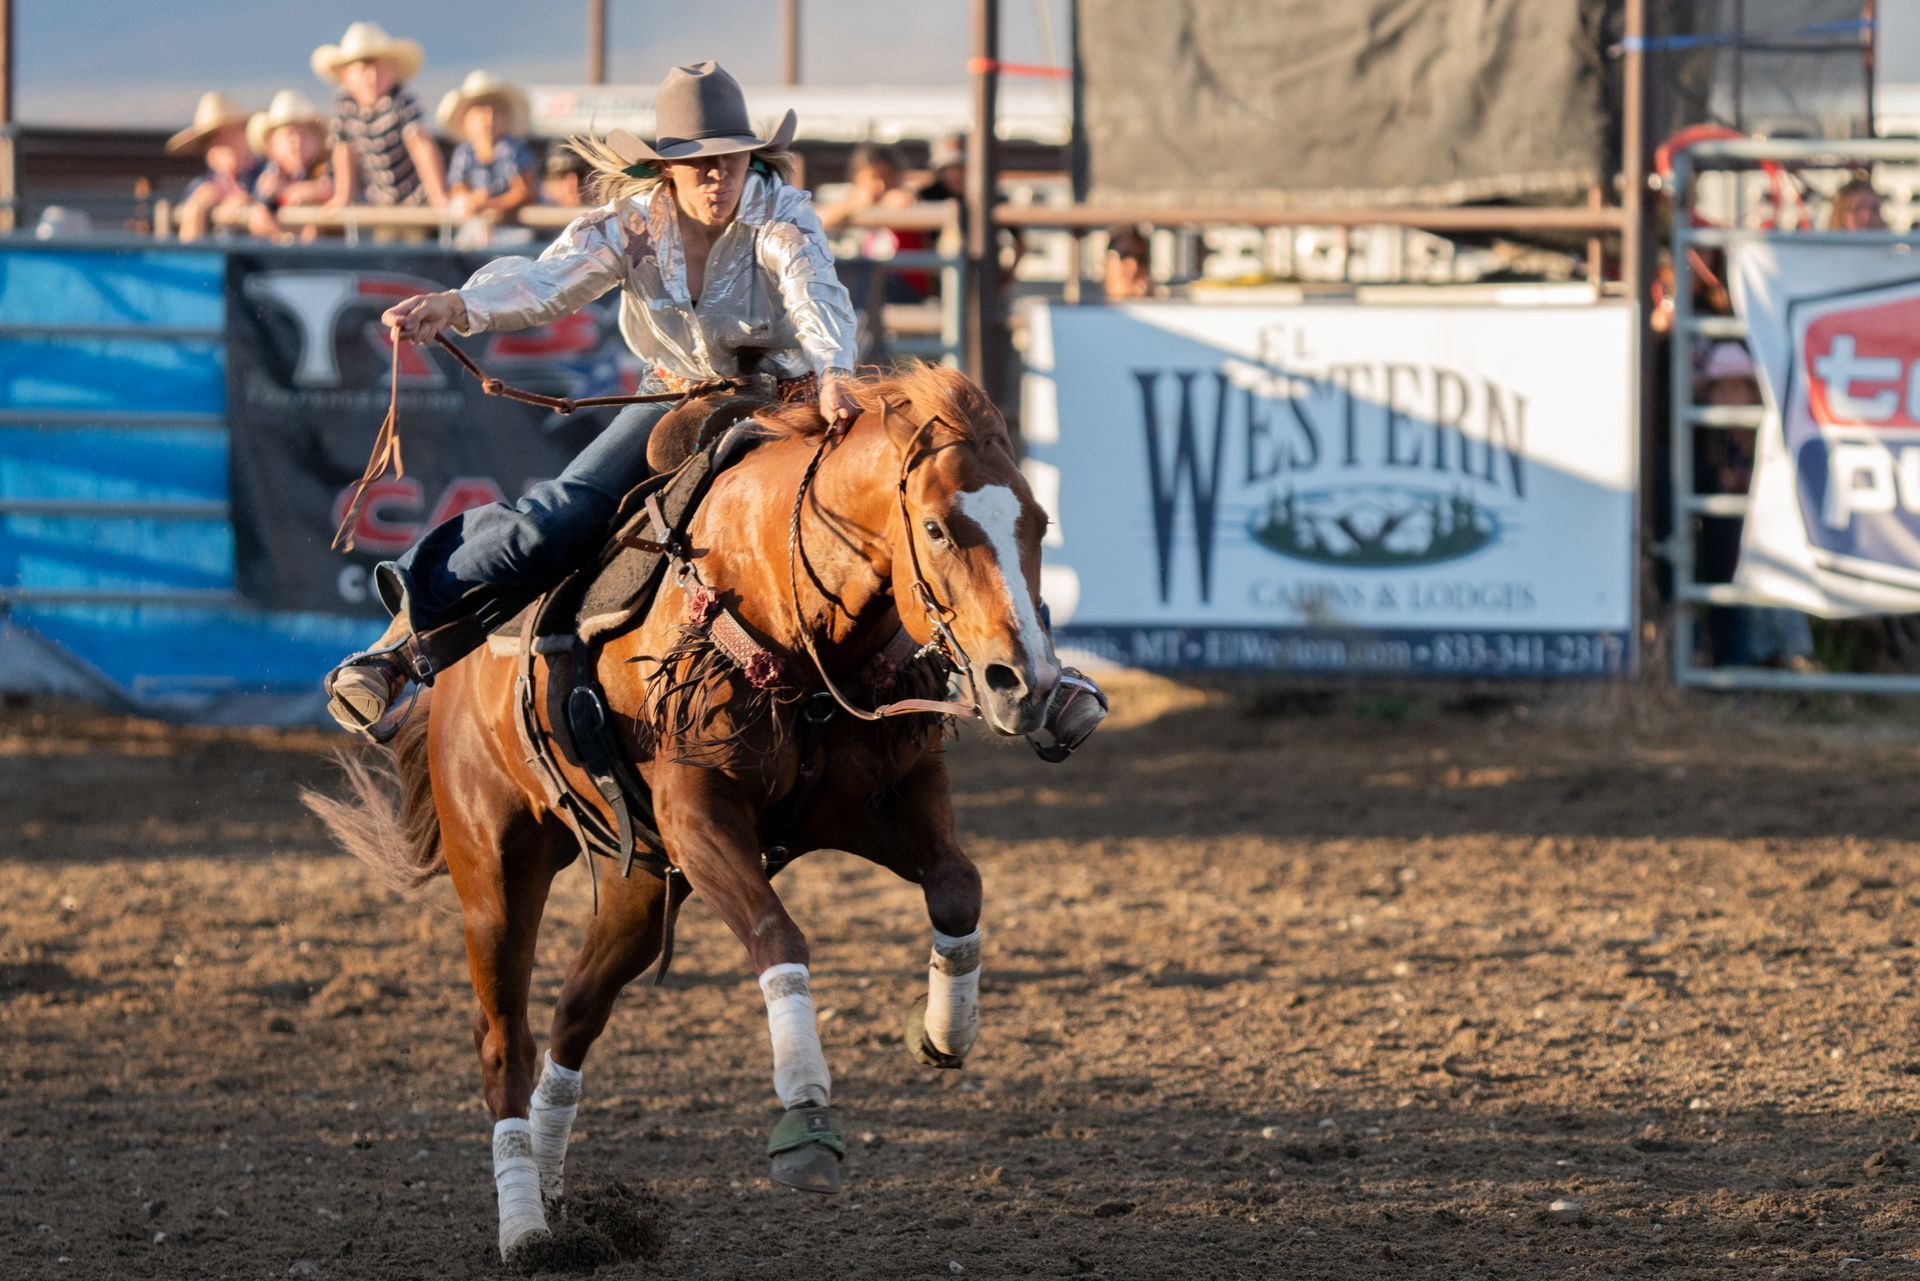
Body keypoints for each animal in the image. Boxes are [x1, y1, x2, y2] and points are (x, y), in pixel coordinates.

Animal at [311, 361, 1067, 1259]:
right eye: (940, 528)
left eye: (1040, 522)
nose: (1025, 682)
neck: (784, 607)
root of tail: (456, 677)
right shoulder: (699, 812)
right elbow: (778, 934)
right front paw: (806, 1118)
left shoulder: (887, 791)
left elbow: (958, 885)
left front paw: (945, 1030)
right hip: (495, 871)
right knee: (505, 1041)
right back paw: (525, 1224)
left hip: (637, 886)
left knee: (572, 1017)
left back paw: (557, 1194)